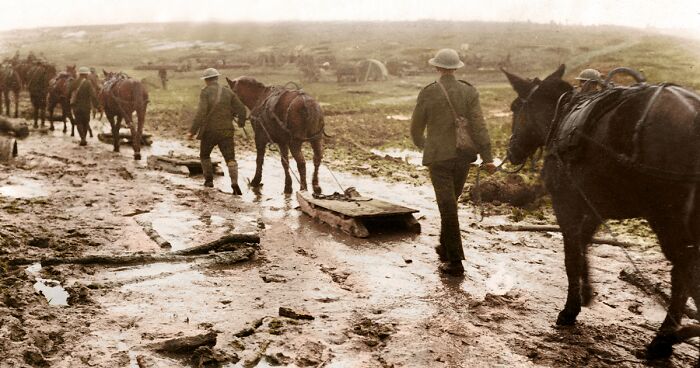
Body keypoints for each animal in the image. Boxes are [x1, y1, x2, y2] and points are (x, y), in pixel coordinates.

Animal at [504, 64, 700, 362]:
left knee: (683, 275)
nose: (512, 149)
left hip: (667, 221)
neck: (561, 118)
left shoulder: (567, 205)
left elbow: (571, 257)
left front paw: (570, 309)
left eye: (516, 107)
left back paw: (664, 339)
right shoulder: (595, 207)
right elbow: (584, 244)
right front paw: (586, 293)